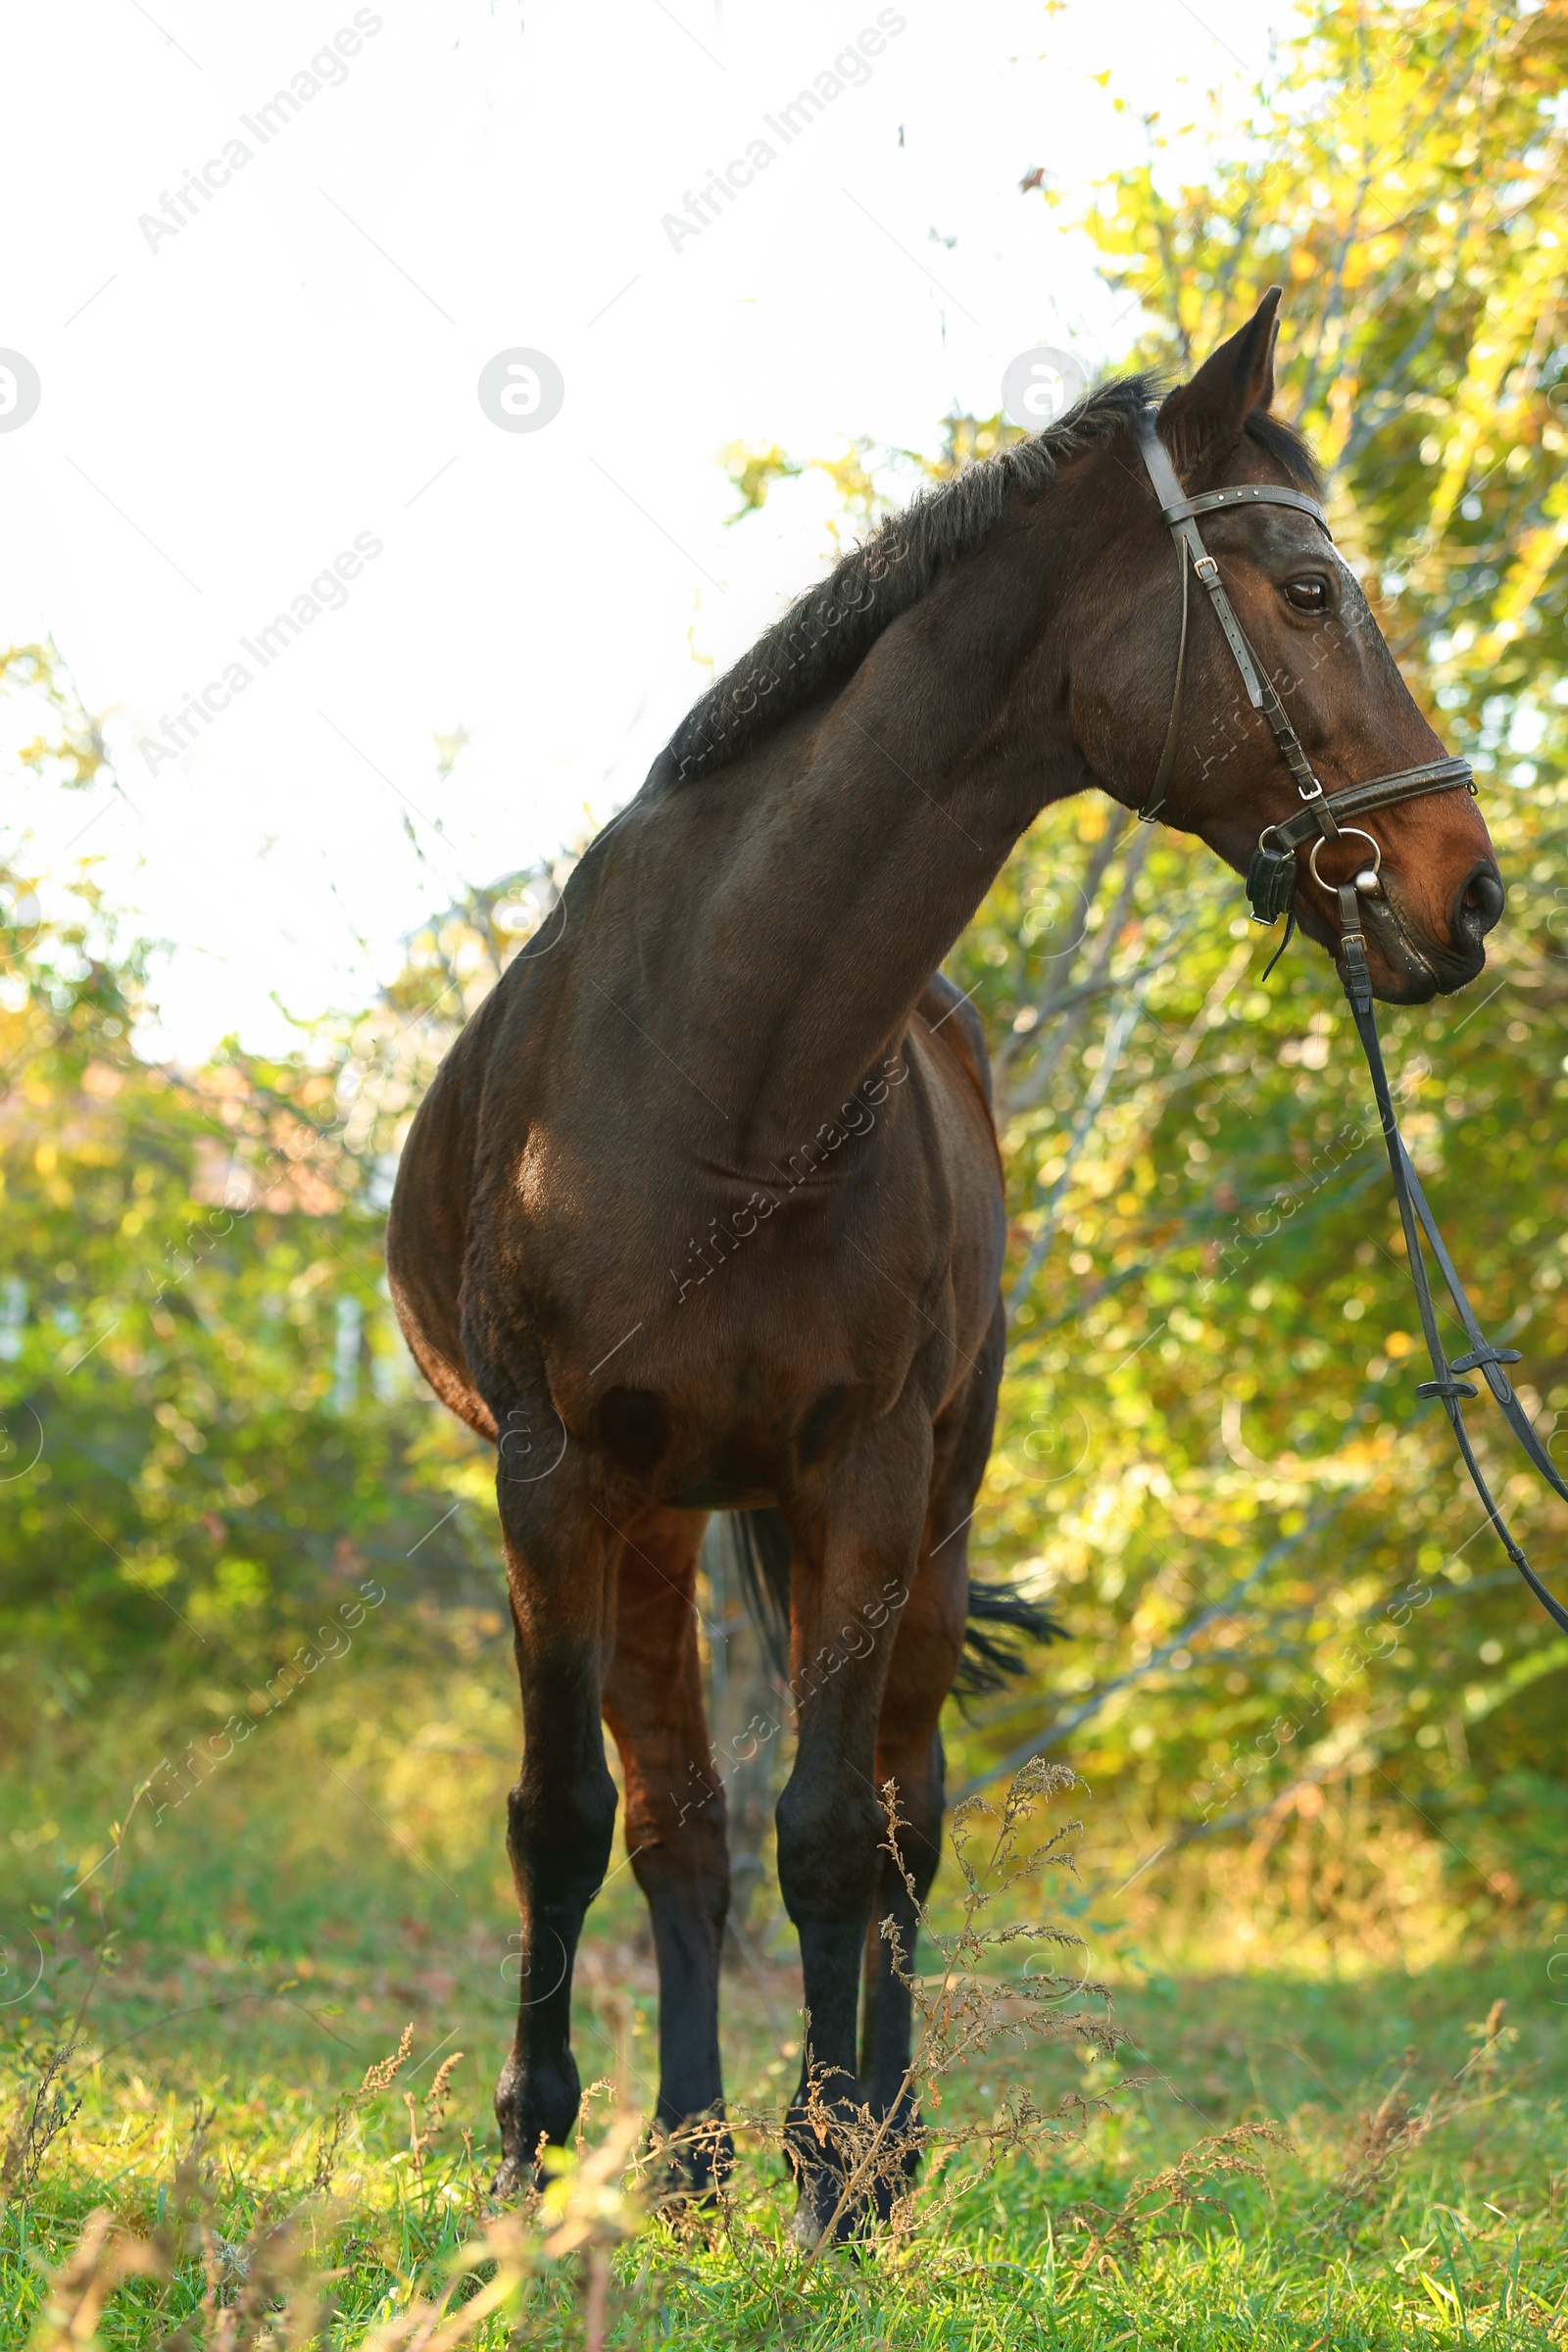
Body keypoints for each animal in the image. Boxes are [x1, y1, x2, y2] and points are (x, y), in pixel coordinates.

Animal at [383, 294, 1504, 2238]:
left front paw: (836, 2179)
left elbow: (842, 1835)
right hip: (658, 1510)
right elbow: (565, 1818)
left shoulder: (871, 1468)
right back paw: (686, 2161)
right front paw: (536, 2151)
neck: (720, 1068)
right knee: (677, 1822)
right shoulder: (550, 1474)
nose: (1470, 891)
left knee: (903, 1809)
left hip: (932, 1502)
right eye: (1305, 591)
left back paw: (878, 2150)